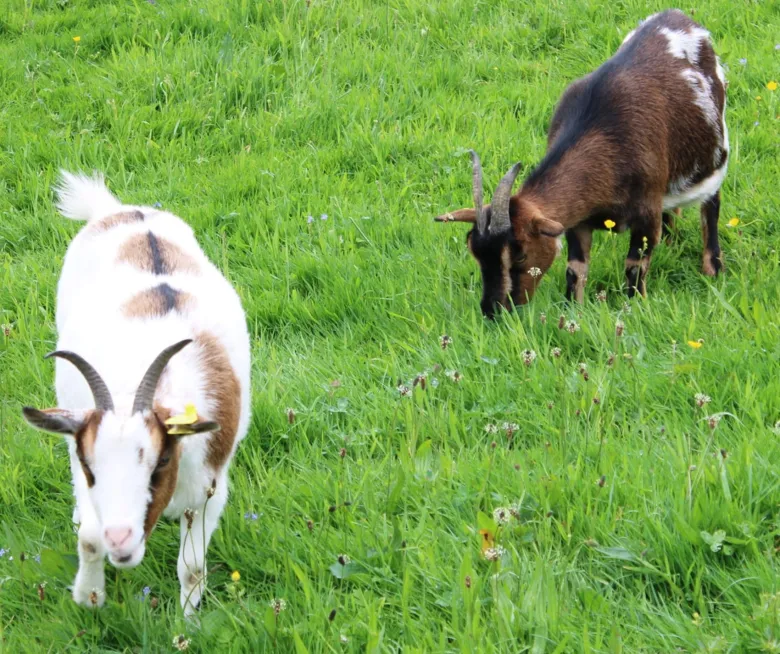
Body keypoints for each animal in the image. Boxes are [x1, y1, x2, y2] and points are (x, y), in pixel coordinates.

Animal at [23, 173, 250, 616]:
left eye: (161, 460)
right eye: (91, 465)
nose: (122, 540)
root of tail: (121, 212)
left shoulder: (209, 490)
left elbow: (192, 568)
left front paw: (188, 623)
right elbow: (89, 536)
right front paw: (89, 597)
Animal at [436, 9, 728, 318]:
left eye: (521, 253)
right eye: (473, 250)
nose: (493, 311)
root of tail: (676, 16)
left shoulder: (646, 212)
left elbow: (634, 268)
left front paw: (635, 309)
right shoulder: (579, 221)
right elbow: (575, 270)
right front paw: (572, 313)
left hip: (716, 146)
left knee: (711, 202)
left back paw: (713, 268)